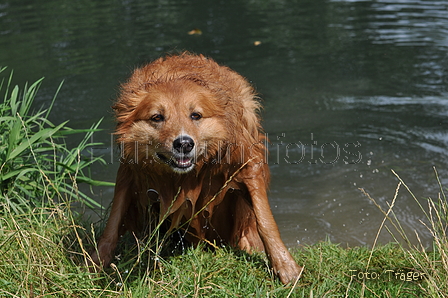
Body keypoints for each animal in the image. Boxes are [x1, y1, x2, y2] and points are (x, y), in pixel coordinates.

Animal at [89, 51, 302, 284]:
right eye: (157, 117)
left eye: (196, 115)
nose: (184, 143)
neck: (184, 178)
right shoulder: (130, 171)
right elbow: (113, 221)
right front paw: (96, 261)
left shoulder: (247, 165)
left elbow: (265, 220)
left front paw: (286, 266)